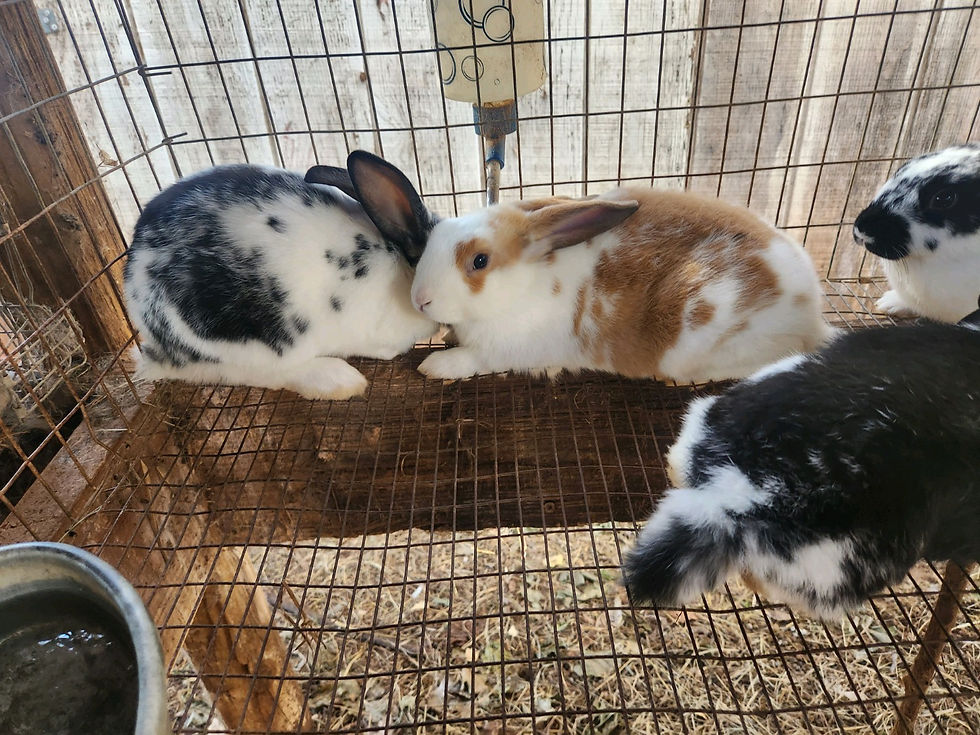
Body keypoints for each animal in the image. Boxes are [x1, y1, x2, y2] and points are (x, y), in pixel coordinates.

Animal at [363, 179, 831, 382]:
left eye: (479, 261)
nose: (420, 300)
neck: (524, 288)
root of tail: (809, 309)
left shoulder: (507, 350)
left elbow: (473, 361)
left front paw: (436, 365)